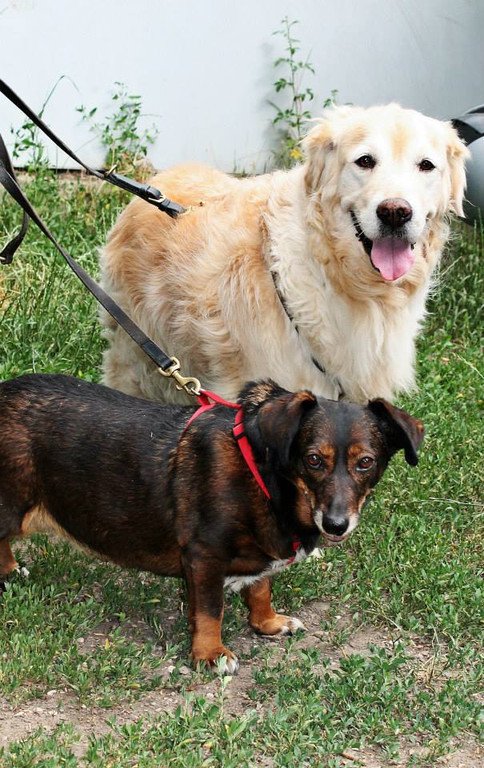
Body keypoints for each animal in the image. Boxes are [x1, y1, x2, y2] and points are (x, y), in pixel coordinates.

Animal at [0, 374, 423, 672]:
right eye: (314, 459)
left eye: (365, 462)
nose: (336, 525)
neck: (264, 476)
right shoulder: (203, 557)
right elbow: (209, 610)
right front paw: (210, 654)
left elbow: (260, 588)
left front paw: (267, 622)